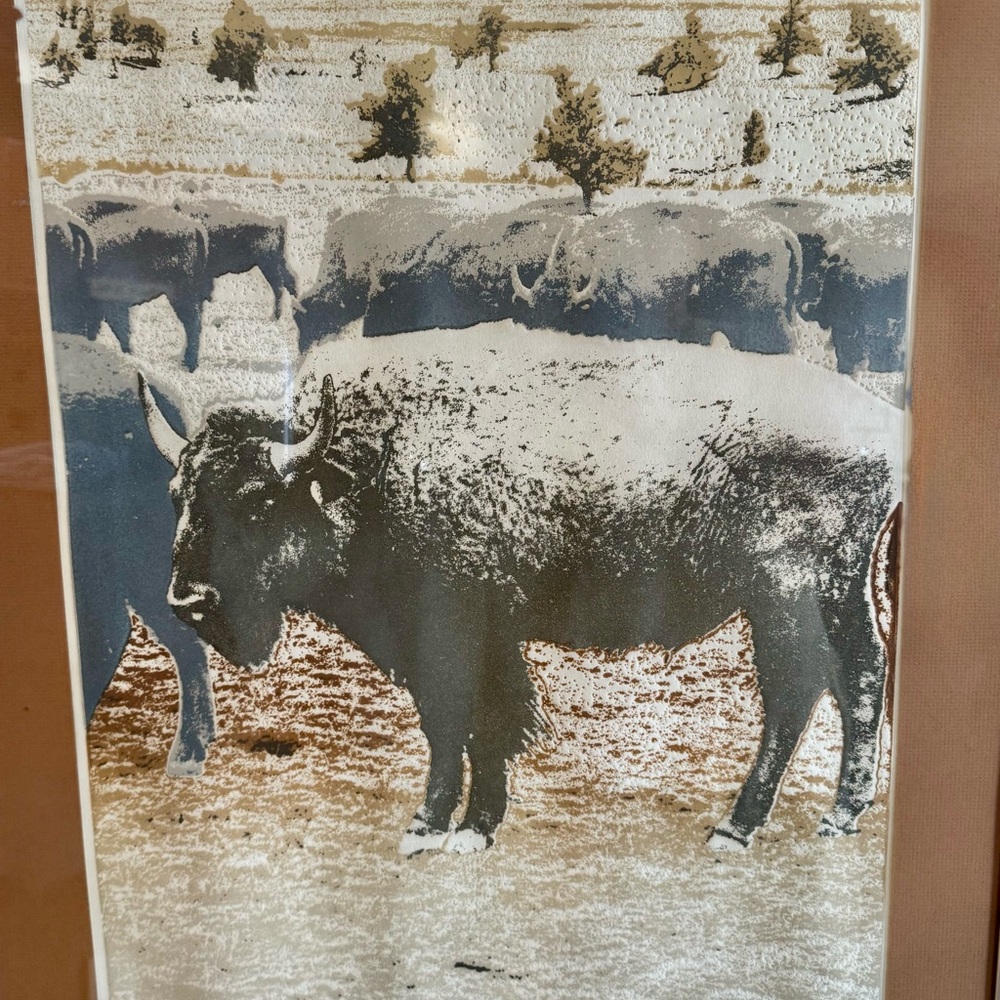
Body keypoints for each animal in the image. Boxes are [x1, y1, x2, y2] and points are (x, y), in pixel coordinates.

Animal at [142, 323, 902, 852]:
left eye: (255, 504)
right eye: (178, 494)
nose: (188, 601)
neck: (364, 464)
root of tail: (884, 427)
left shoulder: (451, 631)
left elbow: (459, 723)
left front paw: (437, 828)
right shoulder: (474, 636)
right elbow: (480, 725)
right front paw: (465, 827)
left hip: (786, 593)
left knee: (800, 692)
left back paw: (739, 827)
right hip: (826, 592)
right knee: (858, 674)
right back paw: (839, 815)